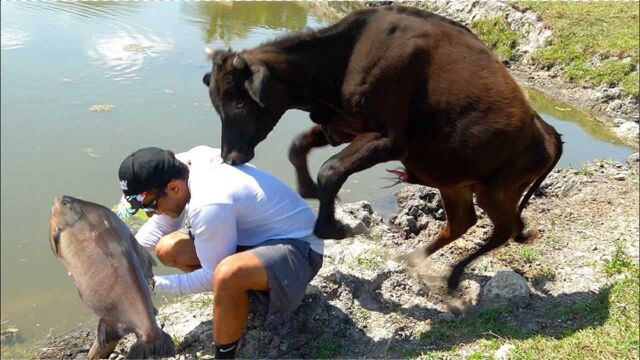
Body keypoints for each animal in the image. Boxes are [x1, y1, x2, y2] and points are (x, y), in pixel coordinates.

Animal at [202, 5, 564, 292]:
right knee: (463, 221)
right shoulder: (342, 126)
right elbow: (298, 147)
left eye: (239, 102)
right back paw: (411, 257)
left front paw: (332, 227)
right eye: (216, 104)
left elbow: (331, 169)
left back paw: (453, 275)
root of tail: (545, 129)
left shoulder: (389, 139)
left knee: (506, 228)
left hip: (497, 189)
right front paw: (309, 190)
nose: (231, 156)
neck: (345, 58)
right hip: (454, 182)